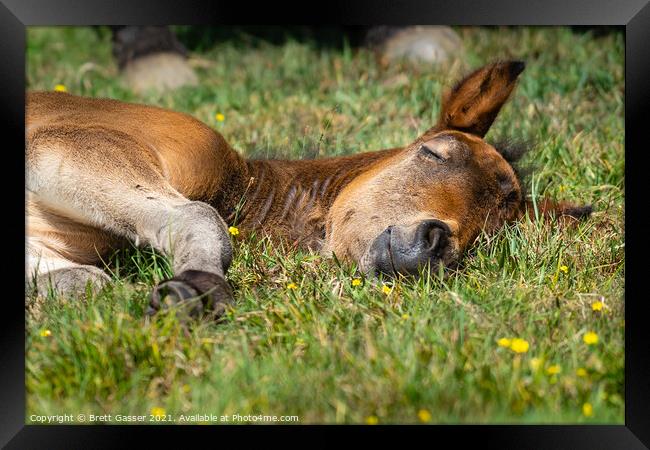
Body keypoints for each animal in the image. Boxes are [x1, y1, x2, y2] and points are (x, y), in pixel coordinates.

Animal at [26, 61, 588, 318]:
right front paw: (194, 291)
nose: (433, 245)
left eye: (491, 232)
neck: (245, 186)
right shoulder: (64, 147)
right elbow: (200, 217)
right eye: (434, 153)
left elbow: (82, 281)